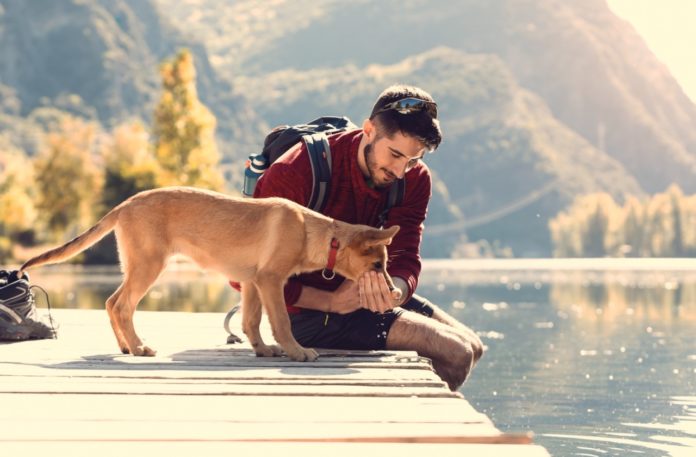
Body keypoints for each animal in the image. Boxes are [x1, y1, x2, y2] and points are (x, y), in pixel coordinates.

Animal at [19, 185, 400, 360]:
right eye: (377, 266)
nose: (395, 294)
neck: (314, 232)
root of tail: (126, 203)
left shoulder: (251, 282)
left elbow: (251, 321)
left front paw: (263, 350)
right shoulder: (270, 280)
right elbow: (281, 321)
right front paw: (297, 351)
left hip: (136, 265)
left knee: (112, 302)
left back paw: (127, 346)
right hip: (149, 266)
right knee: (123, 306)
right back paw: (140, 347)